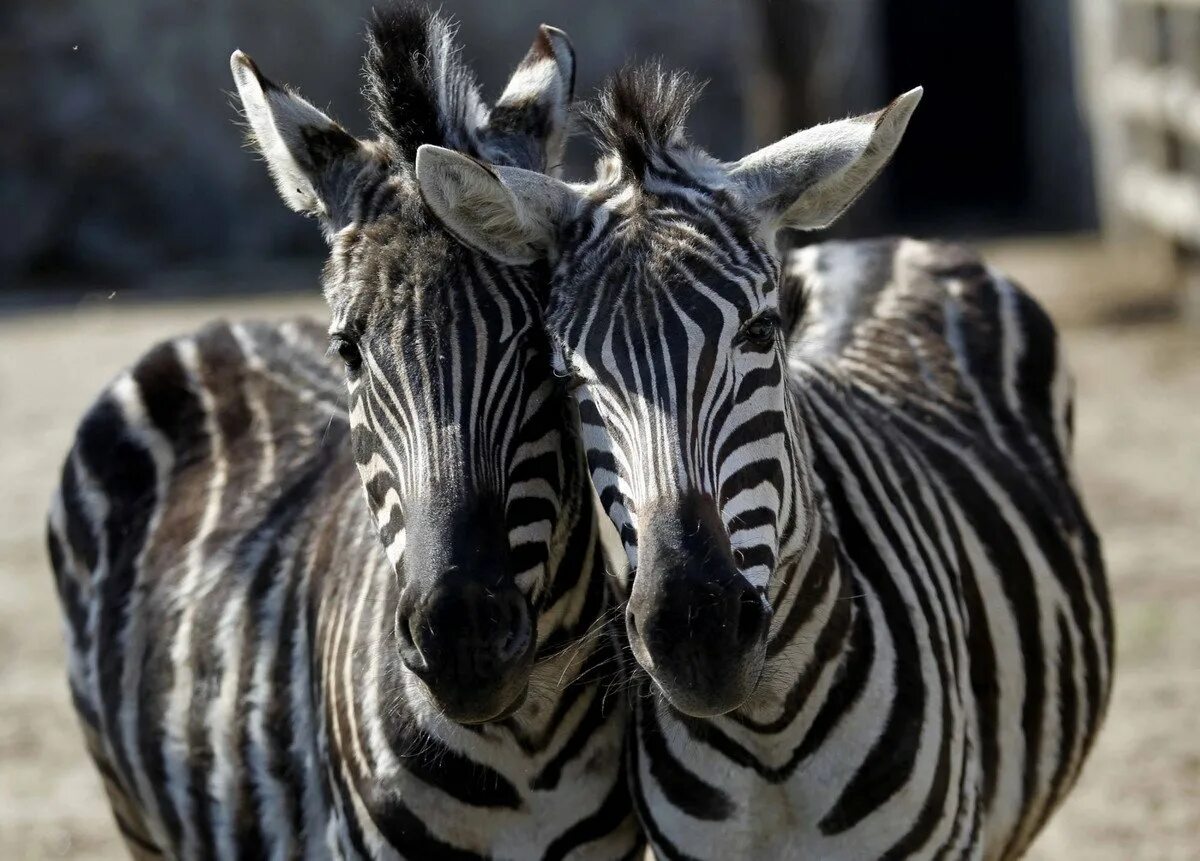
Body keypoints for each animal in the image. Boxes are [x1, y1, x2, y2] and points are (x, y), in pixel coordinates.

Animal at [44, 8, 648, 861]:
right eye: (349, 352)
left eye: (541, 345)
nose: (461, 640)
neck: (522, 749)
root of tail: (222, 325)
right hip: (136, 813)